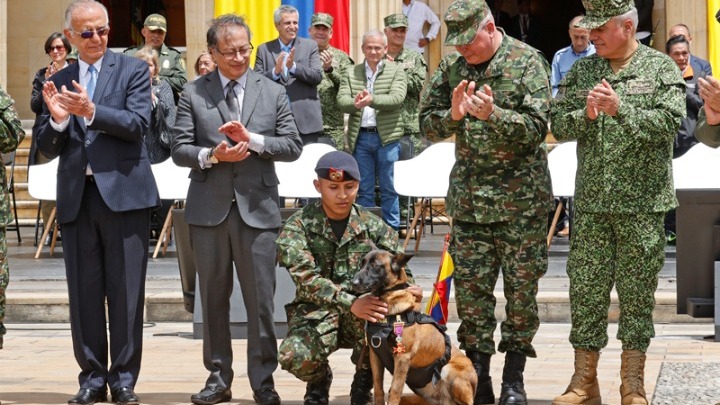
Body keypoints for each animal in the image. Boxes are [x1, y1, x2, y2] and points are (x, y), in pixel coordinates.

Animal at [350, 246, 476, 404]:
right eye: (362, 264)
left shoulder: (402, 358)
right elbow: (379, 388)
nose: (353, 283)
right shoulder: (375, 356)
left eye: (375, 266)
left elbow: (395, 391)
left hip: (449, 369)